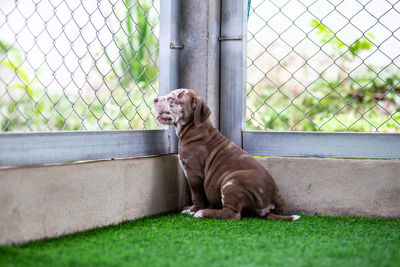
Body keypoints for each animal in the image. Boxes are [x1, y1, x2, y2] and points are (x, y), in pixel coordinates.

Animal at [155, 89, 298, 221]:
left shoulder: (194, 174)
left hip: (231, 182)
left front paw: (193, 210)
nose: (155, 100)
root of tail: (274, 196)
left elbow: (196, 195)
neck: (195, 128)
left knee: (233, 214)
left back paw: (202, 213)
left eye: (172, 99)